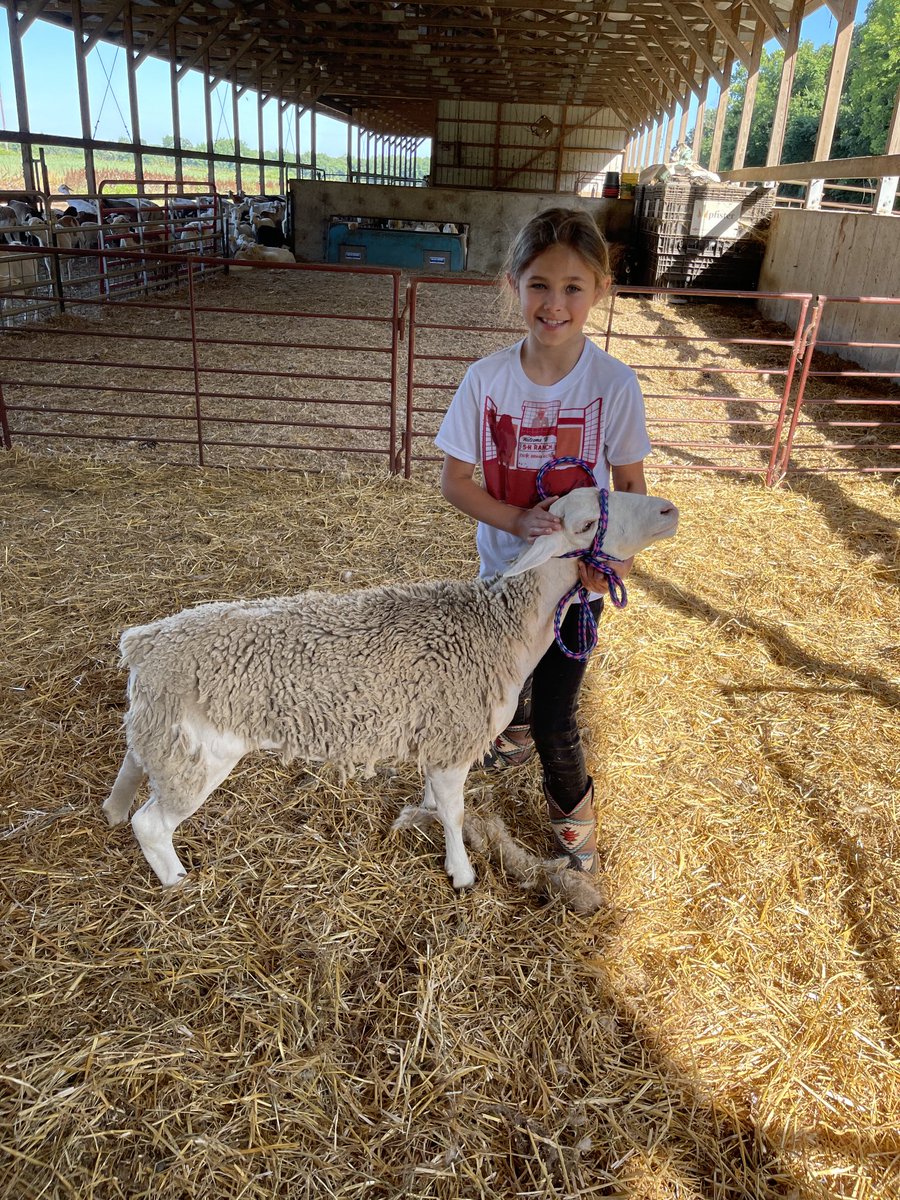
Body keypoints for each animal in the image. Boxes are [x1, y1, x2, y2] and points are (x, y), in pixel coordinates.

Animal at [104, 486, 678, 891]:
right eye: (586, 524)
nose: (668, 511)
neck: (498, 630)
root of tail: (145, 644)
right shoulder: (453, 735)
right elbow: (455, 811)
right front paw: (461, 873)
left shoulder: (437, 737)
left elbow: (436, 800)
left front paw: (421, 820)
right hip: (198, 753)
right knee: (152, 824)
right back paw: (176, 880)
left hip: (159, 728)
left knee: (132, 766)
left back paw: (112, 811)